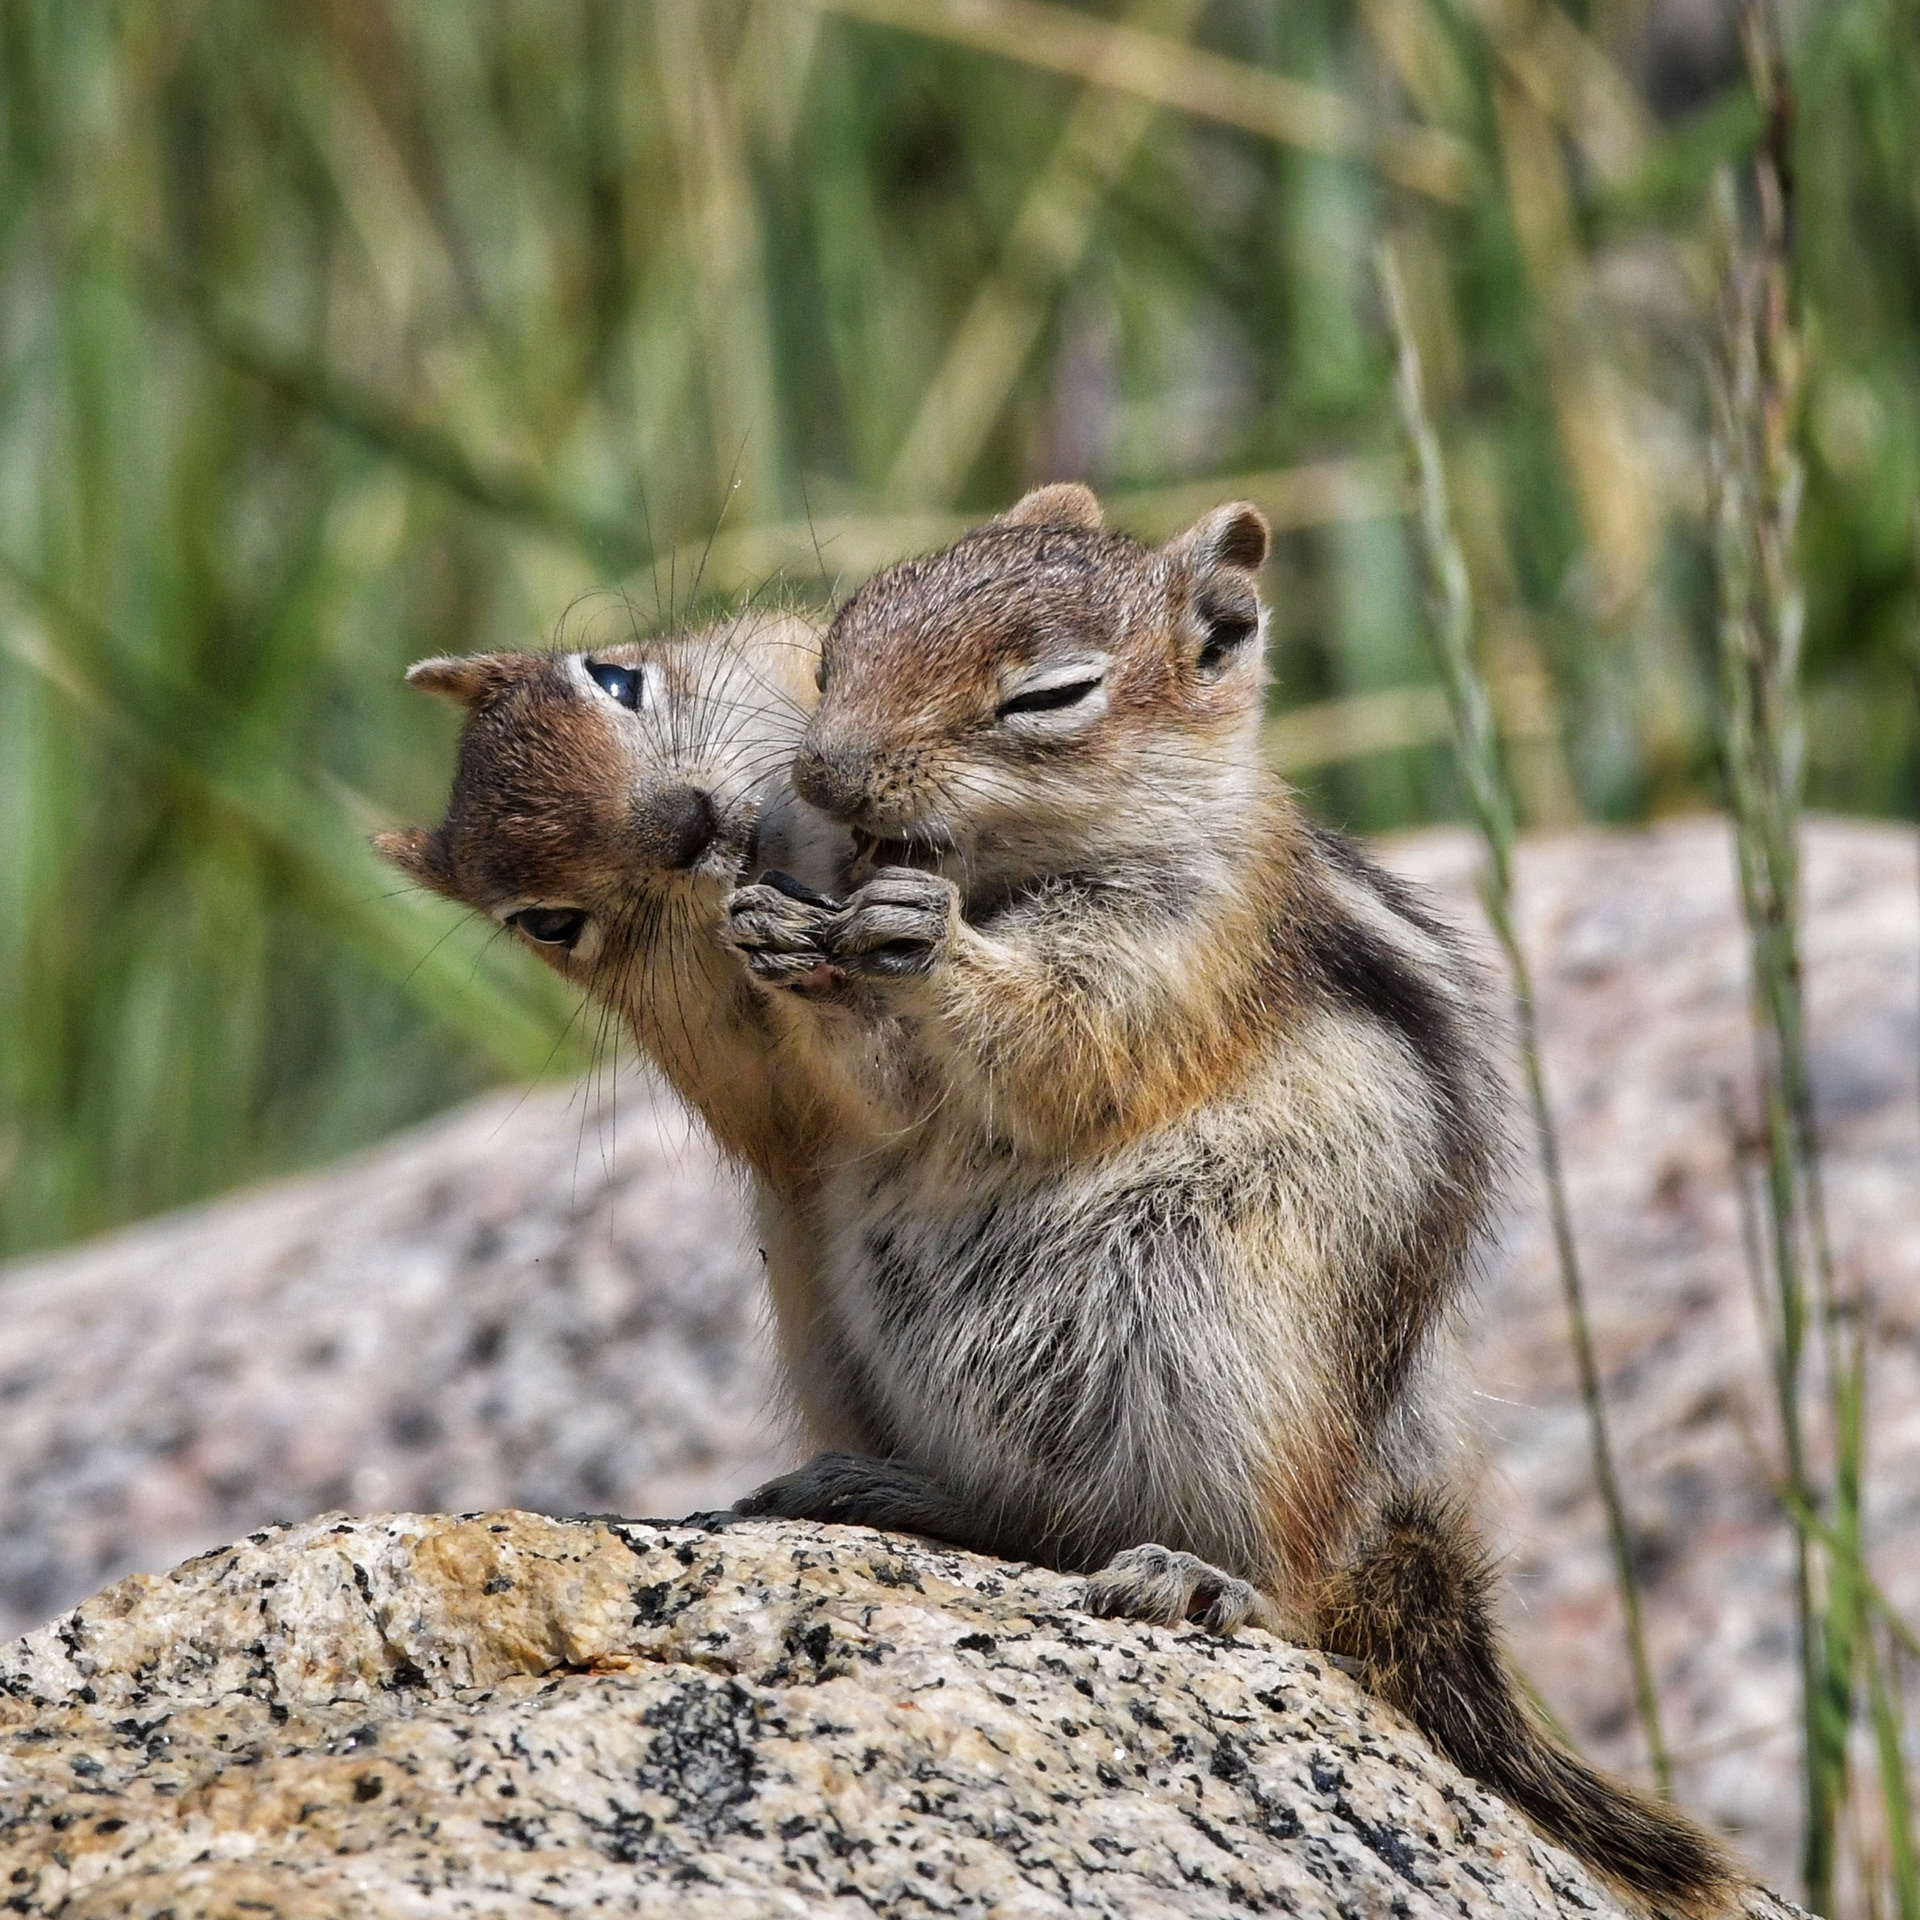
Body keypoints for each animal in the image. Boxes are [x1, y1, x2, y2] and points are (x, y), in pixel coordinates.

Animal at [720, 484, 1740, 1918]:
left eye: (1050, 695)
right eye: (836, 647)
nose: (821, 776)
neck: (1002, 872)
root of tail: (1373, 1528)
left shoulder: (1185, 950)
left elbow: (1058, 1040)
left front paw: (926, 941)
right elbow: (878, 1094)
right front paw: (767, 926)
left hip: (1222, 1339)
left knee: (1284, 1592)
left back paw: (1202, 1581)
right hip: (836, 1316)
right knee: (1030, 1519)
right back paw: (884, 1489)